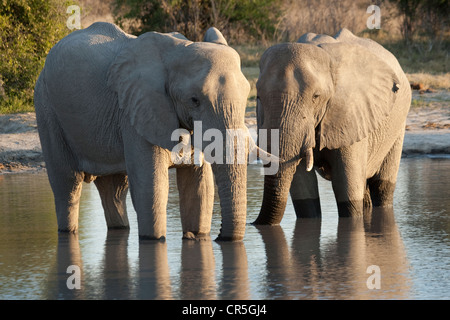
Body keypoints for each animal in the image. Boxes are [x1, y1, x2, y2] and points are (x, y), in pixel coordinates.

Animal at [34, 22, 264, 241]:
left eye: (247, 95)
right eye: (194, 100)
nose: (218, 237)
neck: (177, 51)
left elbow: (199, 188)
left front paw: (196, 236)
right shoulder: (135, 111)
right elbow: (151, 188)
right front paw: (155, 240)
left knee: (115, 188)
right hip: (46, 106)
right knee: (67, 184)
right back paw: (67, 229)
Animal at [253, 28, 412, 225]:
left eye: (316, 96)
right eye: (258, 97)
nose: (252, 223)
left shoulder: (351, 113)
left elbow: (346, 188)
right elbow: (302, 188)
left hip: (399, 124)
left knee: (382, 186)